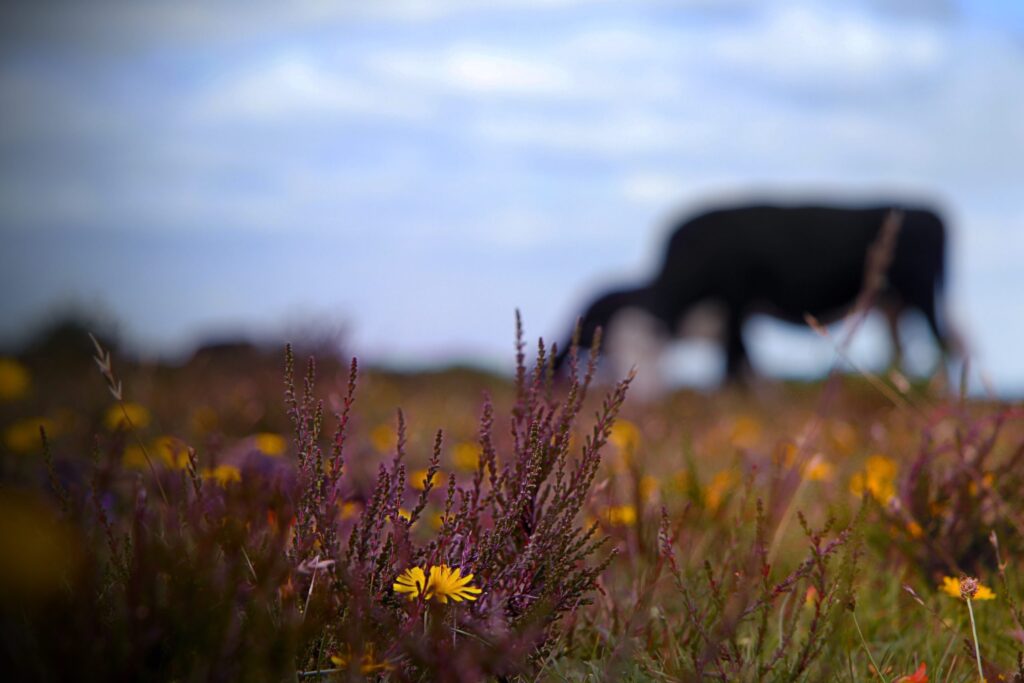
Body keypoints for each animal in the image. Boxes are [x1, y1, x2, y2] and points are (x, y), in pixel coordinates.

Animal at [553, 202, 954, 385]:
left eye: (653, 351)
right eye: (617, 352)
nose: (640, 394)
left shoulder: (735, 302)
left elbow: (735, 364)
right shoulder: (737, 311)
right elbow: (744, 363)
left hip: (919, 295)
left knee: (944, 343)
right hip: (896, 305)